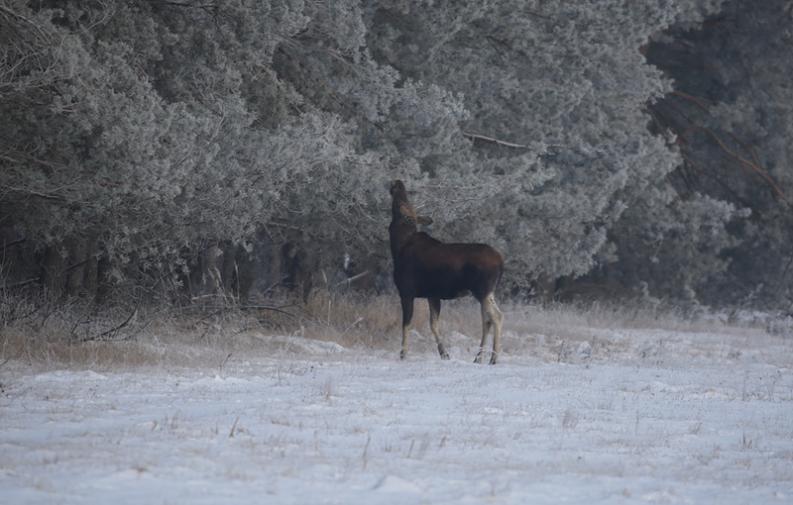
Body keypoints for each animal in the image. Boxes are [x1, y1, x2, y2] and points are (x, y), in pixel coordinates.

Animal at [386, 179, 504, 364]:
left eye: (399, 204)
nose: (398, 182)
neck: (397, 247)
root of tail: (501, 261)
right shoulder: (432, 295)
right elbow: (434, 324)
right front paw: (444, 354)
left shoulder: (406, 292)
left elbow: (406, 324)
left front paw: (403, 354)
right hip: (488, 292)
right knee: (487, 320)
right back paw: (478, 358)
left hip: (482, 290)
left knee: (497, 317)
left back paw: (493, 358)